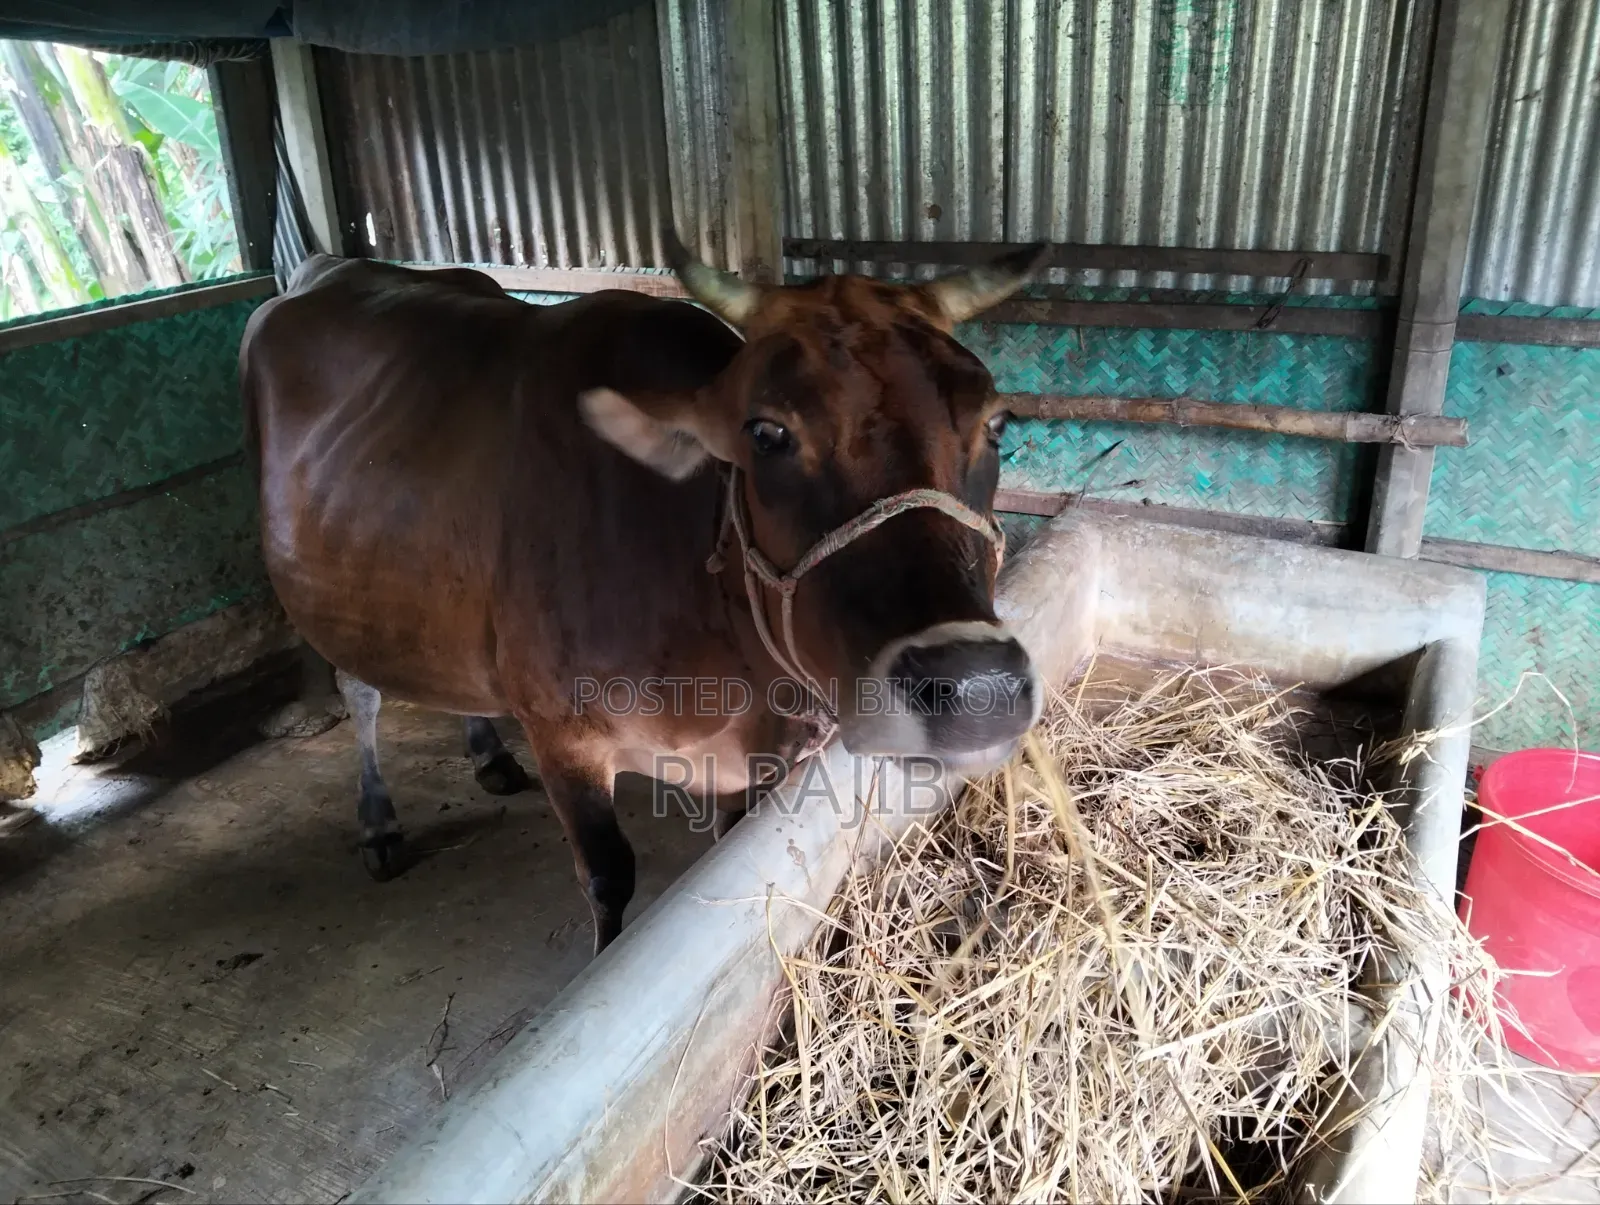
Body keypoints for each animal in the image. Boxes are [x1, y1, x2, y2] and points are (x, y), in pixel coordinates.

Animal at [240, 234, 1048, 954]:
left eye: (997, 423)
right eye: (766, 433)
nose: (978, 689)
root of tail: (328, 266)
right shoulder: (563, 736)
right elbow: (608, 879)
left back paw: (487, 753)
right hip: (324, 593)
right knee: (361, 688)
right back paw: (378, 820)